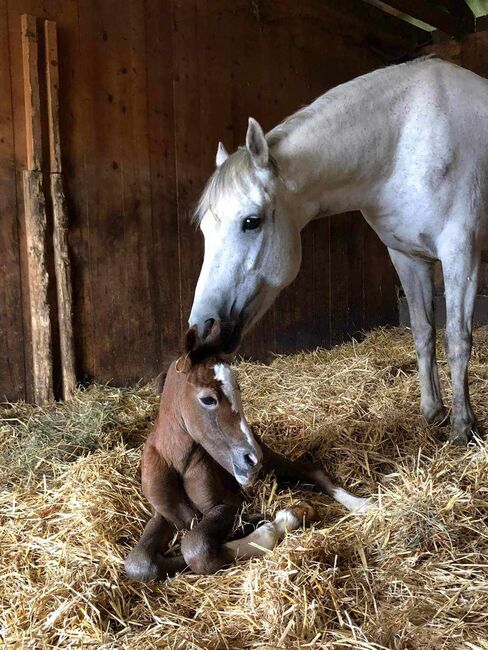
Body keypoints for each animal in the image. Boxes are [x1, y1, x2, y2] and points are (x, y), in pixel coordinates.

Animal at [125, 322, 370, 580]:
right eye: (208, 399)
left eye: (238, 389)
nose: (252, 458)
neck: (176, 462)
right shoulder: (164, 515)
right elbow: (140, 564)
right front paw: (263, 521)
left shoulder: (226, 504)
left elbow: (197, 548)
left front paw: (281, 522)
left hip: (270, 465)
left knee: (311, 470)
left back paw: (361, 504)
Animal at [189, 55, 486, 442]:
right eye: (205, 230)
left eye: (251, 221)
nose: (202, 329)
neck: (407, 137)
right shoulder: (407, 256)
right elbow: (423, 332)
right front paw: (432, 412)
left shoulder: (460, 253)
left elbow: (458, 339)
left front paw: (463, 427)